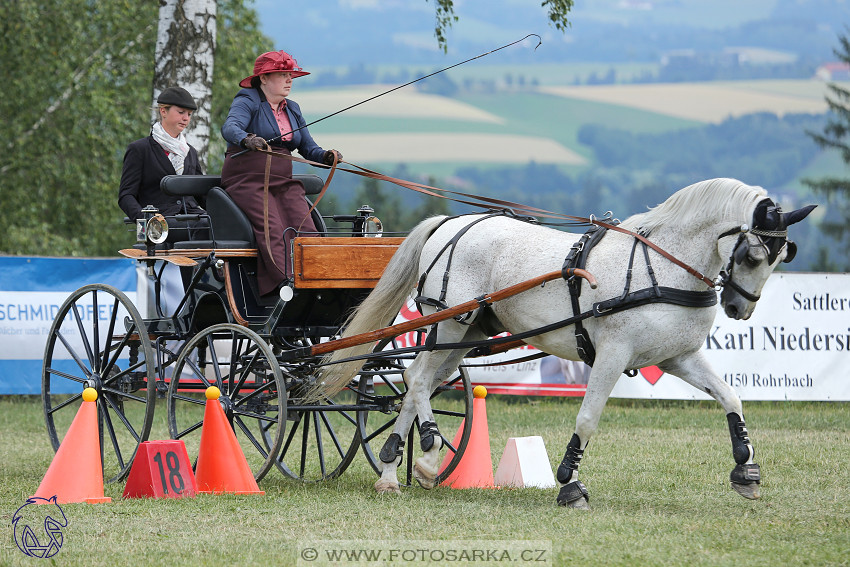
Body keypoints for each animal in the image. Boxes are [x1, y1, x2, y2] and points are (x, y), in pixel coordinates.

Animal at [314, 180, 812, 508]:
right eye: (753, 255)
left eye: (780, 256)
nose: (739, 308)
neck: (662, 267)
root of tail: (451, 223)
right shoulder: (612, 356)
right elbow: (588, 419)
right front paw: (570, 483)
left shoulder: (678, 357)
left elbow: (731, 397)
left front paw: (746, 469)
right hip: (451, 322)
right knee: (417, 378)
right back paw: (429, 452)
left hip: (469, 332)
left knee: (418, 381)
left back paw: (395, 468)